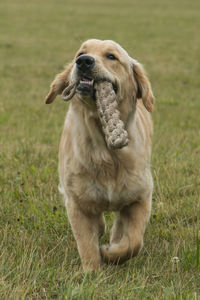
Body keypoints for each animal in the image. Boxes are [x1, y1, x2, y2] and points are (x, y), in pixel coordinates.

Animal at [45, 38, 155, 270]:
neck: (104, 150)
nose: (83, 62)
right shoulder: (77, 202)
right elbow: (86, 243)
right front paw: (93, 272)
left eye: (111, 56)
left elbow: (133, 241)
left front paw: (111, 253)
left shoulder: (141, 197)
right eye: (80, 53)